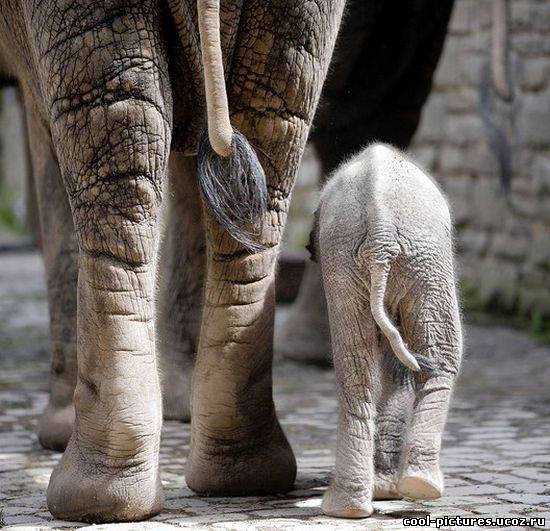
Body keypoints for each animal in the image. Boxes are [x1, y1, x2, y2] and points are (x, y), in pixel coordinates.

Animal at [312, 143, 464, 516]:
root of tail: (380, 231)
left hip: (365, 260)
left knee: (355, 365)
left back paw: (357, 505)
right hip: (419, 258)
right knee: (441, 354)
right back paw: (412, 488)